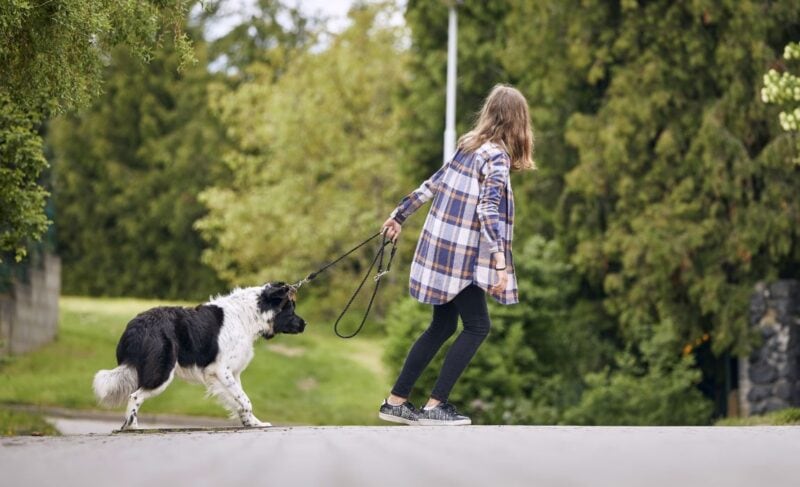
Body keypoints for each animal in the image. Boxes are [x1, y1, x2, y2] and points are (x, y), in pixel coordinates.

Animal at [93, 282, 306, 430]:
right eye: (291, 309)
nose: (305, 324)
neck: (248, 316)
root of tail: (135, 325)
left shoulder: (231, 374)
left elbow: (240, 400)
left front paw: (252, 423)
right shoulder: (221, 370)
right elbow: (245, 400)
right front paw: (252, 422)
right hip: (162, 372)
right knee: (135, 395)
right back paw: (132, 427)